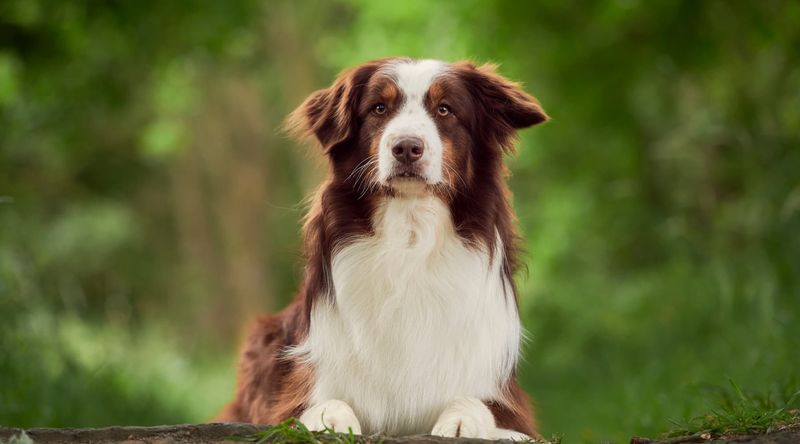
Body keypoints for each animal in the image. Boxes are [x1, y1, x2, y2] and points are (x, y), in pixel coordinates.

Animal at [216, 57, 548, 438]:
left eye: (445, 109)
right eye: (378, 108)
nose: (406, 147)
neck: (409, 233)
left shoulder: (509, 406)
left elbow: (477, 404)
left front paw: (462, 420)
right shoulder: (296, 392)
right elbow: (321, 404)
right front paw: (331, 418)